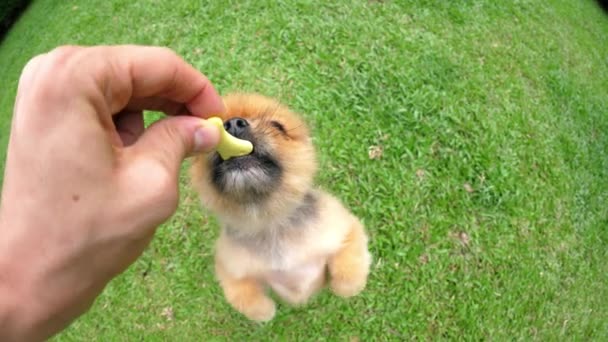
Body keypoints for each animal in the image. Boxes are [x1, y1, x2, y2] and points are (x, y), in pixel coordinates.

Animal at [190, 93, 370, 320]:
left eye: (278, 126)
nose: (233, 124)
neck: (271, 222)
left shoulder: (344, 229)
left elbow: (349, 267)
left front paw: (346, 287)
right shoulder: (230, 268)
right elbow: (242, 296)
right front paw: (264, 310)